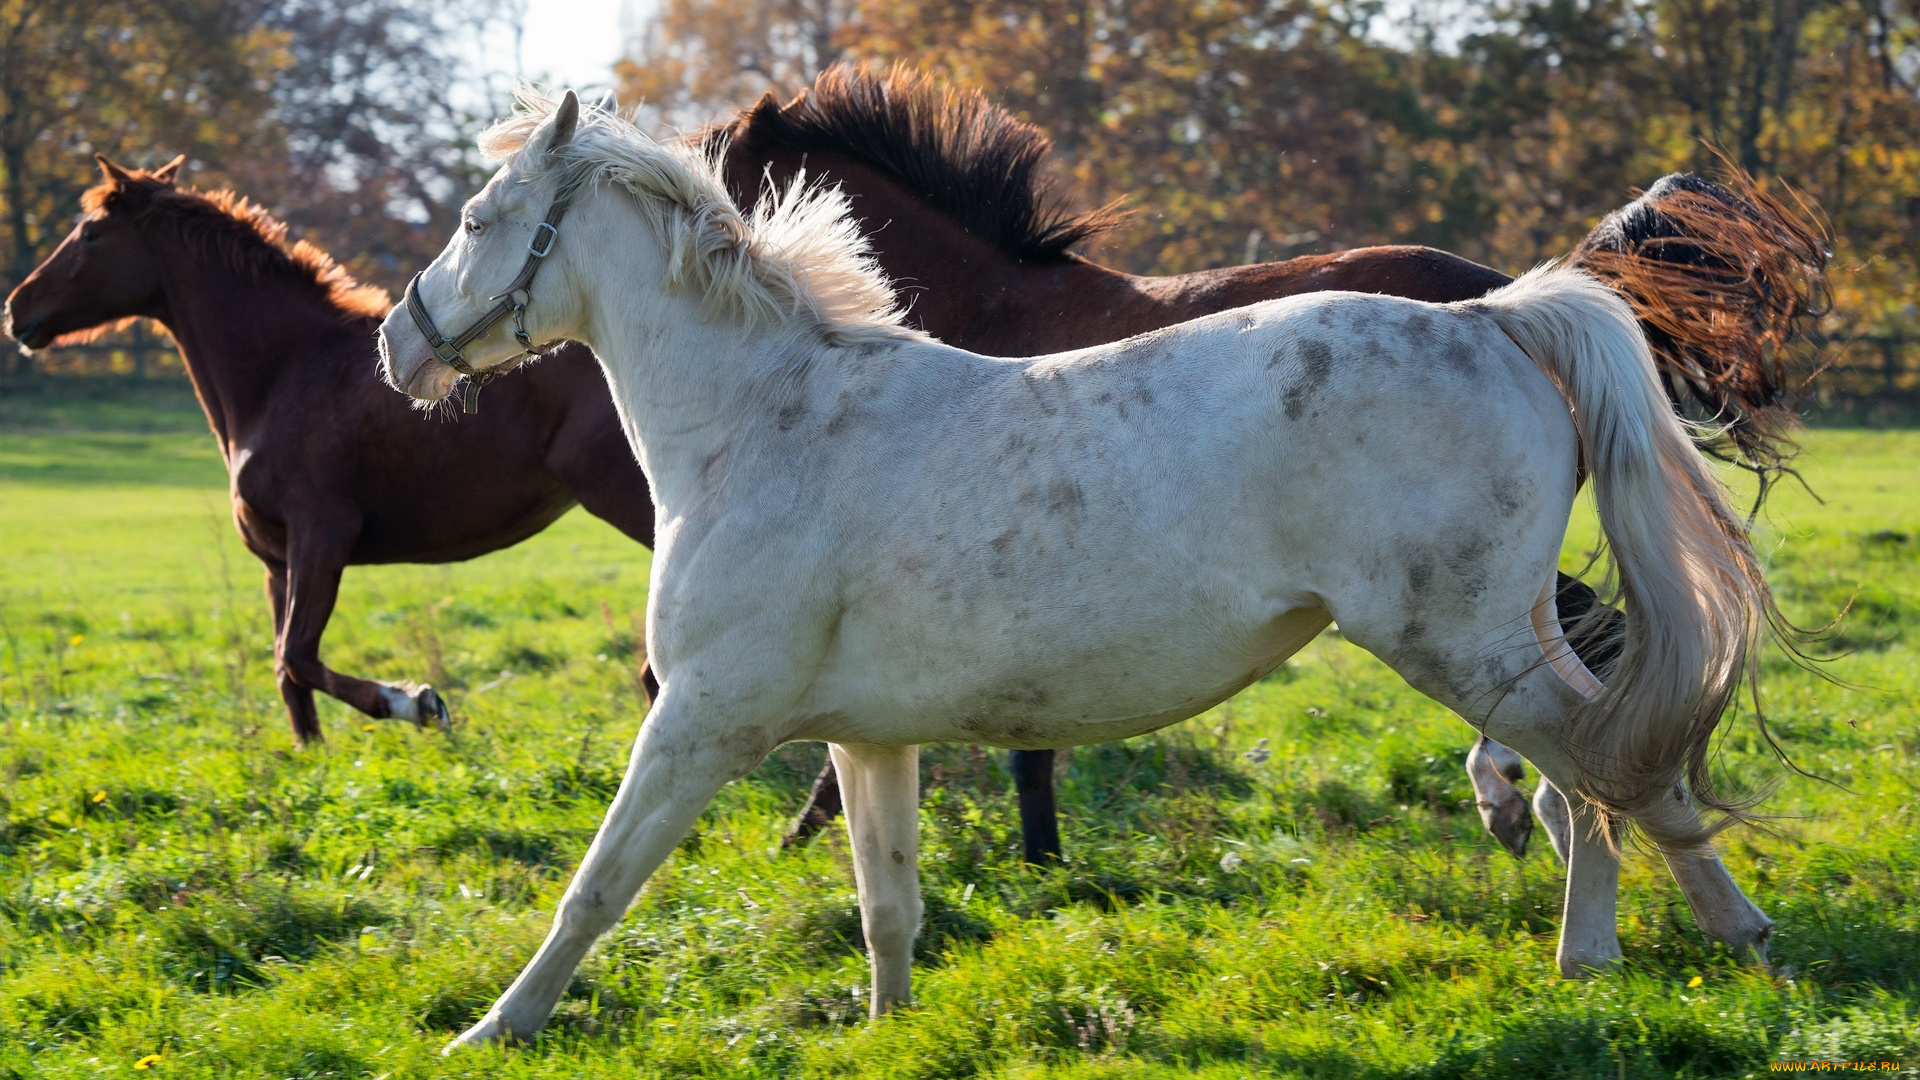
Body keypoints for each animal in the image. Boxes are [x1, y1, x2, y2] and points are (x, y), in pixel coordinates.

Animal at [374, 88, 1781, 1045]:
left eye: (480, 219)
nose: (400, 343)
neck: (765, 421)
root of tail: (1495, 318)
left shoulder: (700, 721)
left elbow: (594, 890)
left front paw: (488, 1030)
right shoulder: (867, 738)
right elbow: (888, 907)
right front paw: (891, 1033)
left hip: (1470, 647)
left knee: (1617, 765)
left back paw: (1726, 944)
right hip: (1504, 638)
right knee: (1600, 768)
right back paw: (1595, 961)